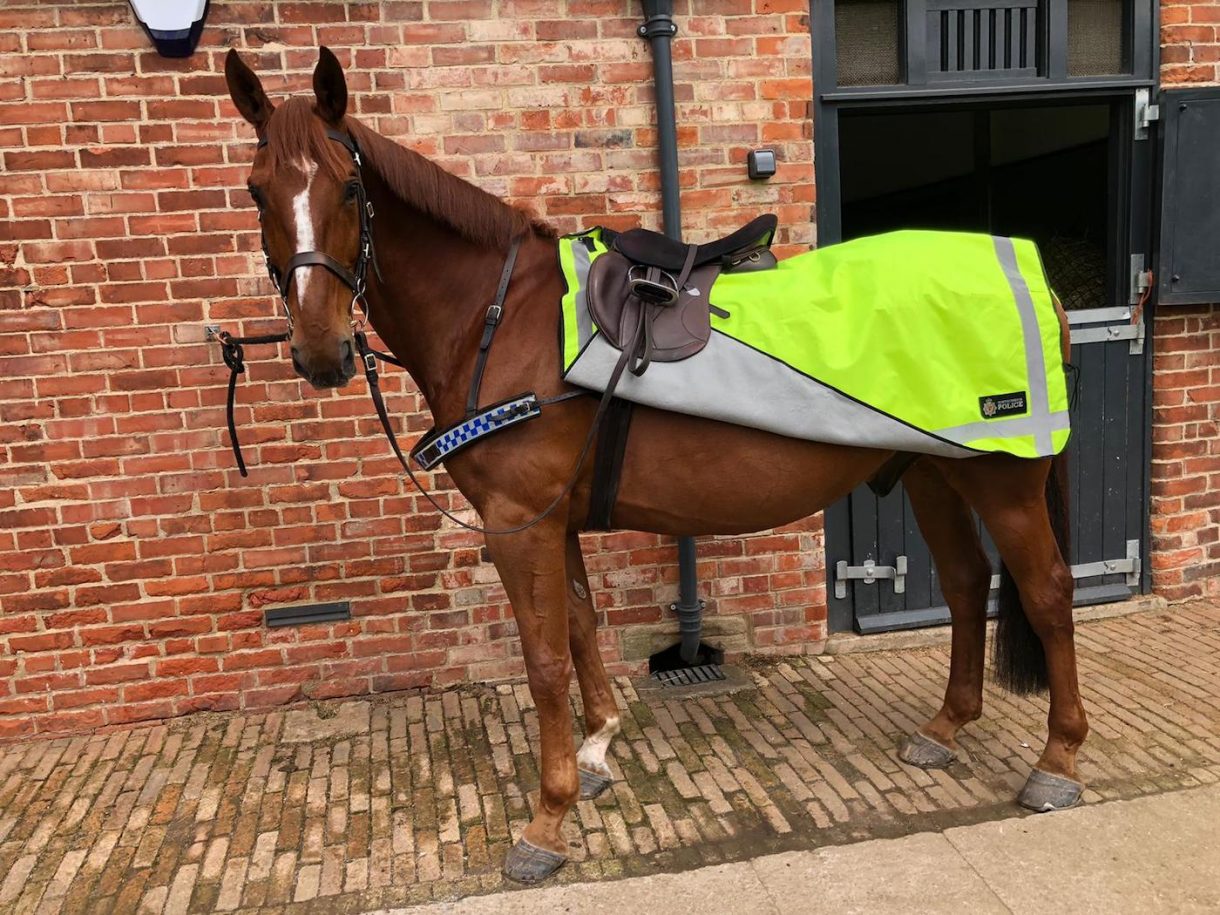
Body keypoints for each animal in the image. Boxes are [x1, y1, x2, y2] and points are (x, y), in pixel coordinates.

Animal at [226, 46, 1088, 883]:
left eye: (347, 188)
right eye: (257, 191)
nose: (320, 350)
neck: (498, 319)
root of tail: (1035, 279)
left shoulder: (517, 524)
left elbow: (544, 660)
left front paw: (546, 819)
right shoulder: (554, 522)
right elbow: (581, 626)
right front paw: (597, 750)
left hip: (1004, 481)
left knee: (1047, 592)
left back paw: (1058, 759)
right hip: (933, 470)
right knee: (967, 581)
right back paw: (945, 726)